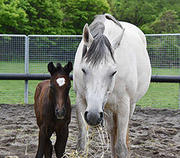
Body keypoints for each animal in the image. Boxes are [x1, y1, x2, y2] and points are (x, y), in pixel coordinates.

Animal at [72, 14, 151, 157]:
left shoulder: (123, 106)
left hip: (128, 106)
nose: (93, 116)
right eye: (83, 70)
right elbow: (81, 145)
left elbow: (121, 148)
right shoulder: (81, 100)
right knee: (112, 132)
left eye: (113, 72)